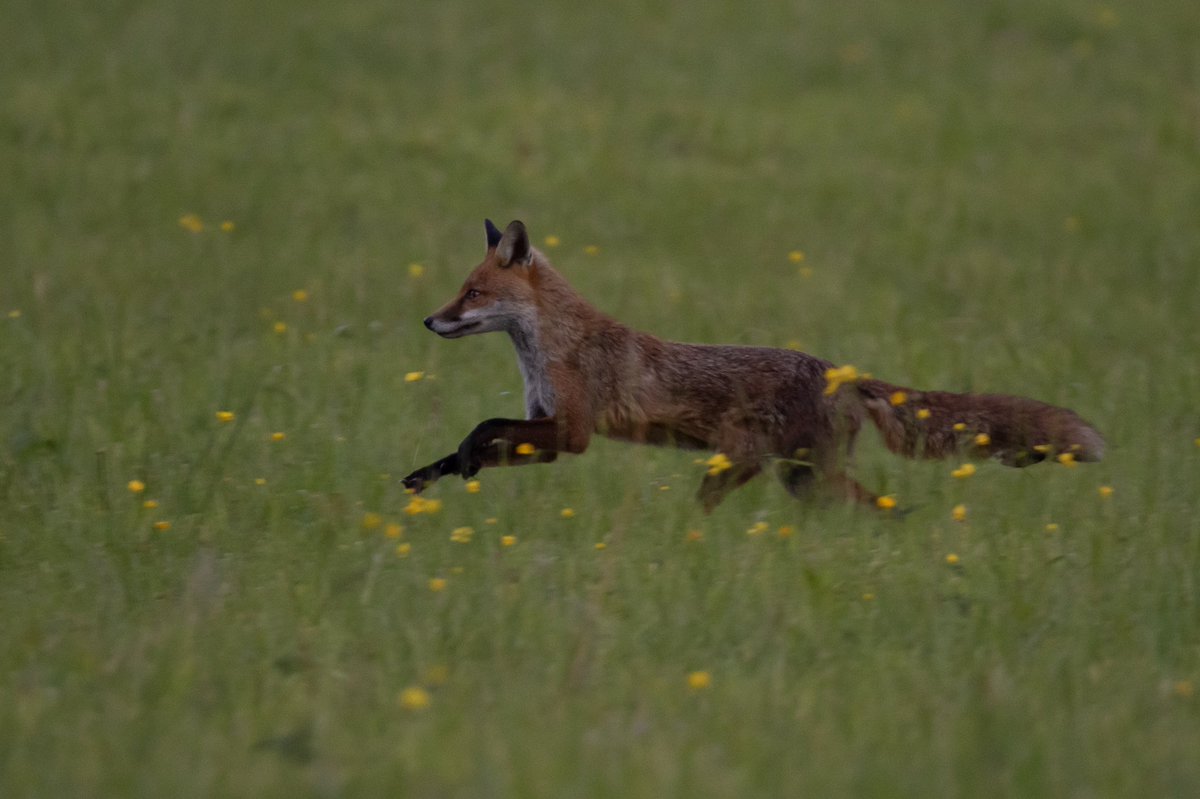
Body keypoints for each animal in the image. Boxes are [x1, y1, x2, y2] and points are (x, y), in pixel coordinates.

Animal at [398, 218, 1099, 511]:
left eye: (473, 293)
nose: (428, 321)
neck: (550, 348)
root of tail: (840, 371)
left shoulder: (572, 431)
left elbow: (483, 427)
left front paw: (460, 460)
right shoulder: (546, 432)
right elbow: (476, 441)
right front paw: (433, 473)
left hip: (779, 472)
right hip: (788, 476)